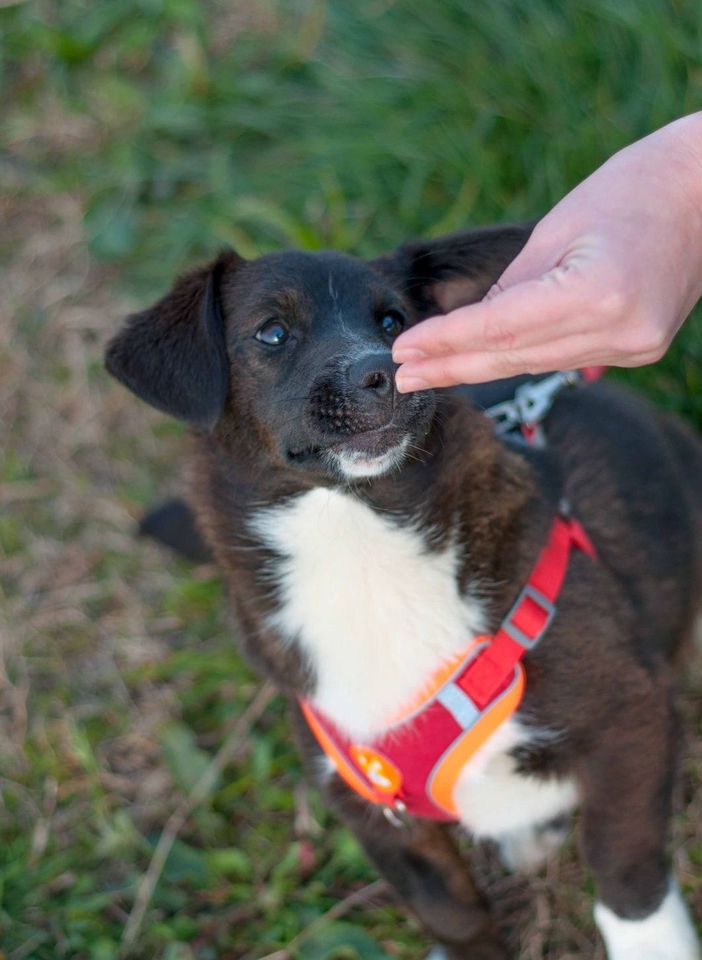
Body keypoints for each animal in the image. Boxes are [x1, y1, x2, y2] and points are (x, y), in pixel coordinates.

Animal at [104, 229, 702, 960]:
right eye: (272, 332)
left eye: (393, 322)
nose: (381, 371)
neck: (357, 543)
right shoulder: (377, 815)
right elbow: (453, 915)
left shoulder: (632, 720)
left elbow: (626, 871)